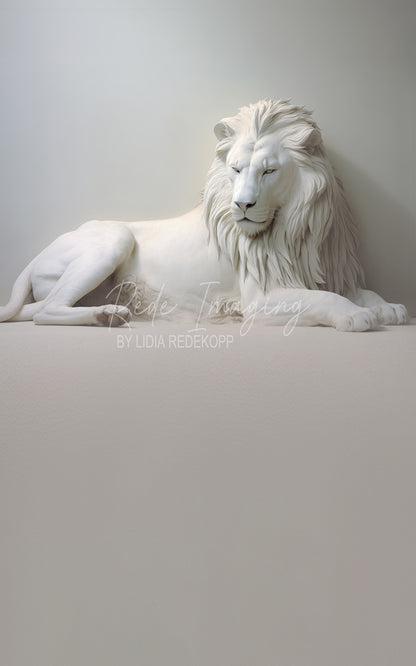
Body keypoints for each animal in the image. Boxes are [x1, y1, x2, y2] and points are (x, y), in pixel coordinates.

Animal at [0, 98, 408, 330]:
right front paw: (355, 316)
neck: (294, 229)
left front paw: (390, 308)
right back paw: (109, 316)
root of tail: (40, 253)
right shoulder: (260, 300)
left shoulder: (324, 273)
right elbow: (324, 300)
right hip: (114, 238)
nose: (242, 205)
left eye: (269, 171)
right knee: (45, 312)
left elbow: (364, 292)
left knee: (33, 310)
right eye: (236, 169)